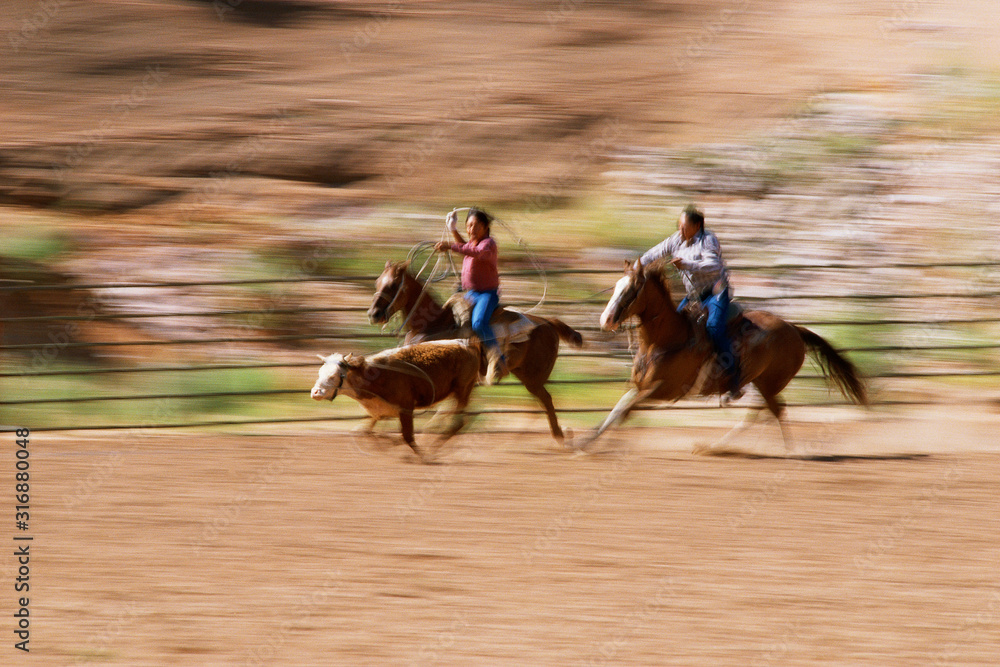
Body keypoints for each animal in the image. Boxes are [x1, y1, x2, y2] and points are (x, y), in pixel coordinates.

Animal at [312, 342, 484, 462]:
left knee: (457, 422)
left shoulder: (406, 408)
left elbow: (406, 436)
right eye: (320, 373)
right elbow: (363, 432)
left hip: (462, 389)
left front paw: (421, 456)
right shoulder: (378, 410)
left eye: (334, 376)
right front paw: (383, 443)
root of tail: (470, 347)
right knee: (456, 417)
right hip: (458, 393)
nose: (315, 392)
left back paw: (431, 451)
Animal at [368, 260, 584, 444]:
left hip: (533, 378)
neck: (432, 325)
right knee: (540, 403)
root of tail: (548, 322)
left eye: (393, 285)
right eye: (378, 282)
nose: (373, 314)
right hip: (525, 375)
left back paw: (556, 436)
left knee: (545, 400)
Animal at [588, 260, 864, 454]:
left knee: (772, 412)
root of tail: (794, 328)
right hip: (761, 382)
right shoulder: (639, 387)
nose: (606, 320)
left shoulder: (661, 390)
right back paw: (716, 447)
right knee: (763, 413)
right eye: (615, 286)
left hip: (770, 382)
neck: (666, 339)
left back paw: (789, 451)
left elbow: (625, 412)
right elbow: (617, 410)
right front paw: (585, 442)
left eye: (632, 290)